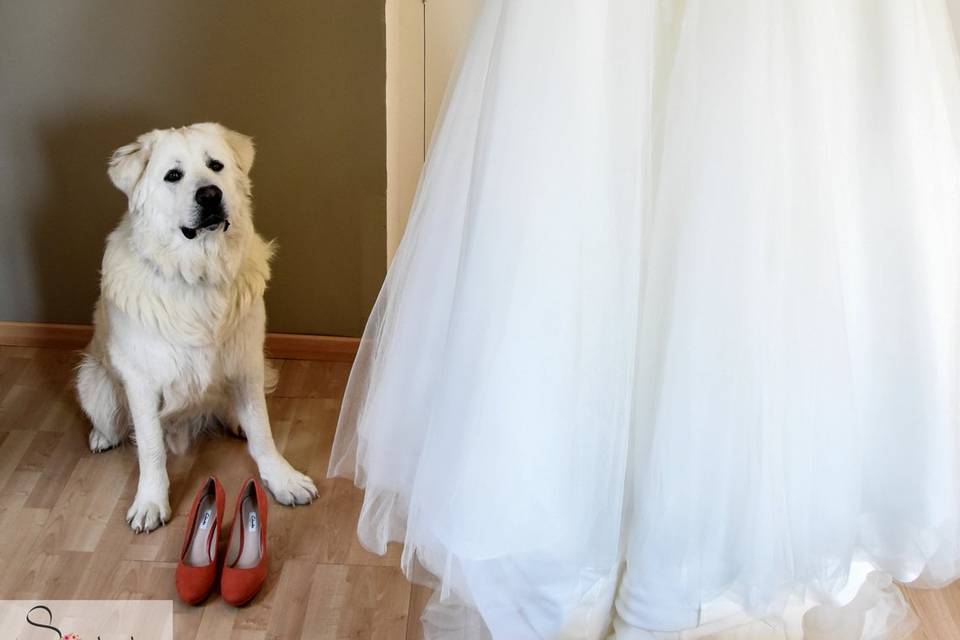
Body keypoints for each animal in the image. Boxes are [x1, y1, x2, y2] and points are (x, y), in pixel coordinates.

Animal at [76, 122, 316, 532]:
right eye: (173, 175)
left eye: (215, 166)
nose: (210, 194)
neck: (198, 272)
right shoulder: (142, 383)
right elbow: (151, 448)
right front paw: (151, 502)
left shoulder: (246, 363)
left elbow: (263, 431)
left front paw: (282, 479)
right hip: (95, 384)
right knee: (116, 423)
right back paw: (102, 437)